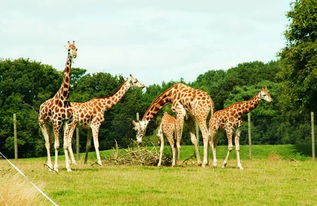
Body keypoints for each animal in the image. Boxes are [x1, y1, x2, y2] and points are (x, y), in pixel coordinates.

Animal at [38, 40, 78, 172]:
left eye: (76, 48)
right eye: (69, 50)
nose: (74, 55)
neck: (64, 98)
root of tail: (41, 106)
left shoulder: (66, 122)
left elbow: (64, 145)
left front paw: (68, 167)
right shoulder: (57, 122)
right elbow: (56, 145)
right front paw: (56, 167)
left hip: (50, 125)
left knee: (49, 142)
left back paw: (49, 165)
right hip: (43, 123)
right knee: (47, 143)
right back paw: (50, 166)